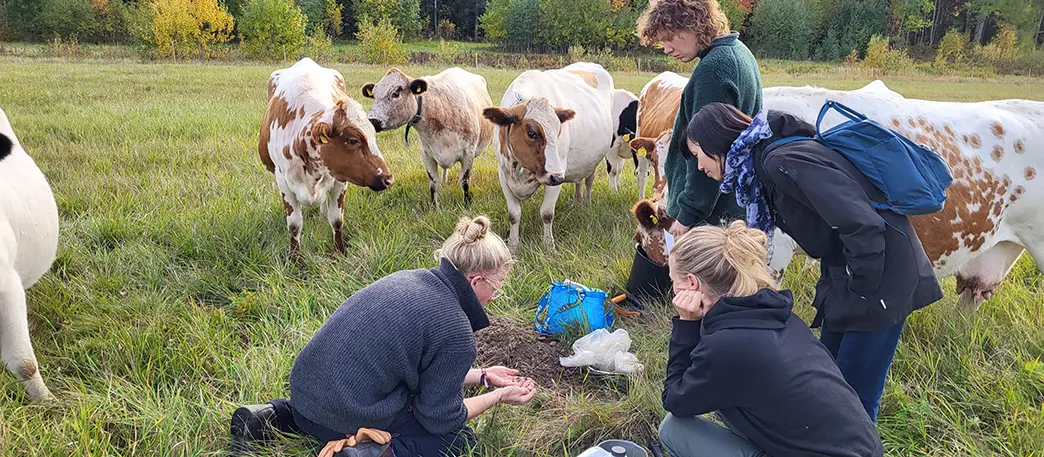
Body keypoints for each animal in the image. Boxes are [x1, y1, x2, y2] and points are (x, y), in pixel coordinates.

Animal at [258, 57, 392, 260]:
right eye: (353, 140)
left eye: (373, 137)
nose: (387, 179)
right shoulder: (283, 182)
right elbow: (294, 224)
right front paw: (295, 258)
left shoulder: (341, 180)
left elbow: (336, 219)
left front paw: (339, 251)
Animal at [365, 66, 494, 207]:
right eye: (374, 95)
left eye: (395, 93)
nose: (372, 120)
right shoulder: (427, 155)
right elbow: (433, 184)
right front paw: (434, 208)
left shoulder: (468, 154)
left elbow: (464, 182)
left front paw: (466, 206)